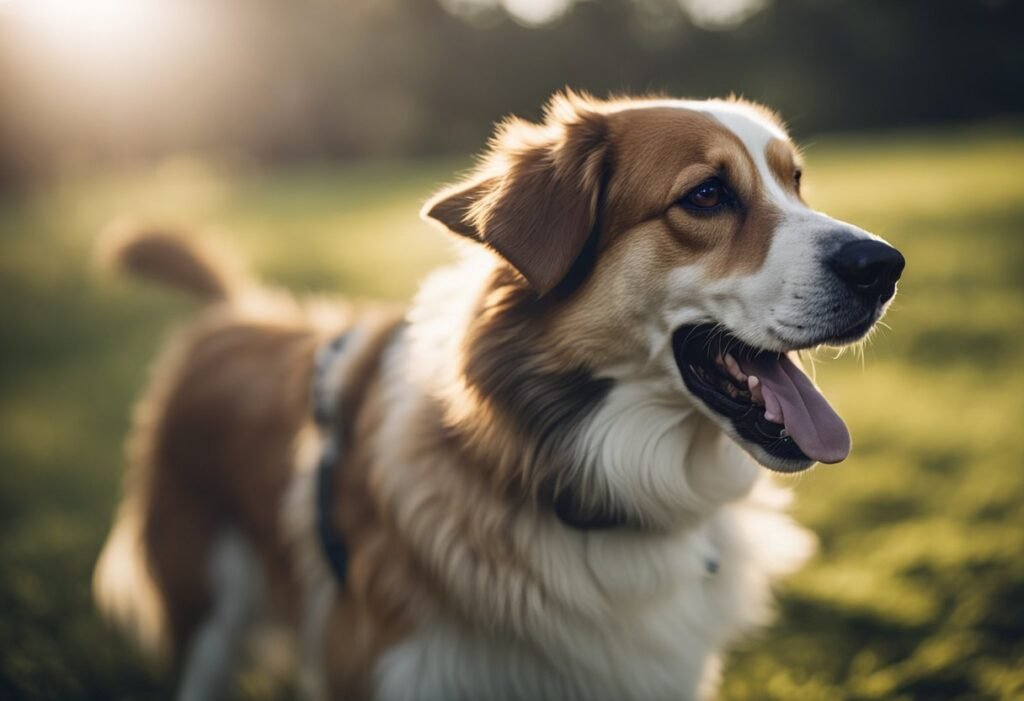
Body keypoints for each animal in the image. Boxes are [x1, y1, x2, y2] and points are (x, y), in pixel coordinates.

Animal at [92, 90, 901, 695]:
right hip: (202, 600)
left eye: (795, 182)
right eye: (706, 195)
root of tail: (236, 313)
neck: (587, 488)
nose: (885, 266)